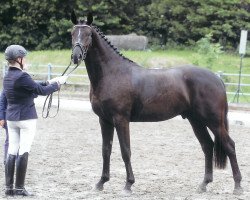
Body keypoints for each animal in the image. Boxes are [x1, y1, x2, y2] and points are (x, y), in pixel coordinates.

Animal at [70, 10, 242, 194]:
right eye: (72, 33)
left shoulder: (121, 119)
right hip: (196, 121)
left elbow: (125, 151)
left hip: (214, 121)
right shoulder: (104, 120)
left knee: (230, 146)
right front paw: (101, 182)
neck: (112, 73)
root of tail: (217, 79)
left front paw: (128, 184)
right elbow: (106, 150)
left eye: (88, 34)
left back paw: (238, 186)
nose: (76, 56)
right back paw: (203, 184)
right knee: (208, 146)